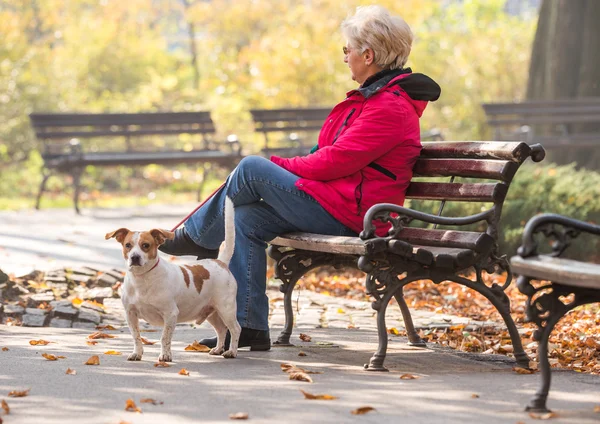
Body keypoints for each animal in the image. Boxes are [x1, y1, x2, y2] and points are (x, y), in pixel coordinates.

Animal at [106, 196, 240, 362]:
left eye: (146, 245)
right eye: (128, 245)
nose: (134, 257)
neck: (142, 278)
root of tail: (220, 262)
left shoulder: (170, 314)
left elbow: (165, 337)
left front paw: (165, 355)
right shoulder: (130, 314)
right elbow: (136, 336)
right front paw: (137, 353)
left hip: (226, 309)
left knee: (235, 329)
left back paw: (232, 351)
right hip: (212, 311)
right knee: (221, 329)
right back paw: (218, 349)